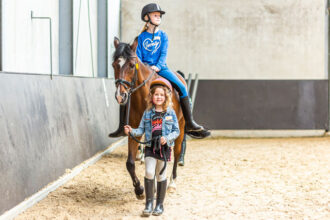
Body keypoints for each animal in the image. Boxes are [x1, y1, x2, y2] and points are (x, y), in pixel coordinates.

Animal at [112, 37, 186, 199]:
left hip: (181, 127)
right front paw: (139, 189)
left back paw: (172, 183)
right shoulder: (134, 130)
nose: (120, 96)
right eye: (114, 65)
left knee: (177, 153)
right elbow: (130, 163)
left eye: (131, 65)